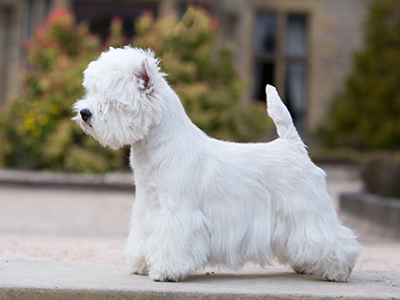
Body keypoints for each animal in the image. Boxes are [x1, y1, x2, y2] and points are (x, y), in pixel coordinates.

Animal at [72, 45, 362, 282]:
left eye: (112, 100)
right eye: (91, 91)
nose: (84, 113)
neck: (156, 148)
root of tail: (293, 144)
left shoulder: (179, 211)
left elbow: (173, 240)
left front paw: (166, 271)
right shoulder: (147, 206)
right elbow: (144, 236)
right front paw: (141, 264)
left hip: (306, 208)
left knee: (333, 239)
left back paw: (337, 271)